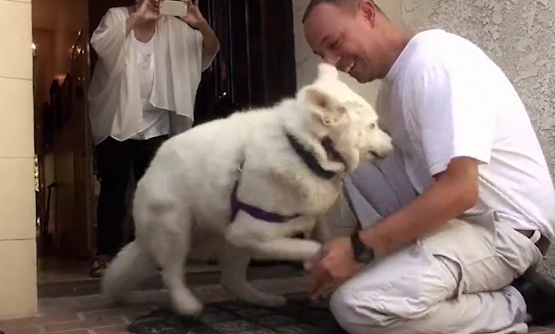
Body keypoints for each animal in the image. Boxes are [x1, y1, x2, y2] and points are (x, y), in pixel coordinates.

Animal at [101, 62, 396, 316]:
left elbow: (320, 234)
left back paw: (262, 299)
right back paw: (187, 305)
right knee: (172, 272)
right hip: (178, 228)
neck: (304, 148)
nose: (393, 143)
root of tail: (153, 165)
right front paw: (319, 263)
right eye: (372, 125)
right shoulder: (249, 230)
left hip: (225, 237)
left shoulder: (262, 230)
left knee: (230, 279)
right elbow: (313, 247)